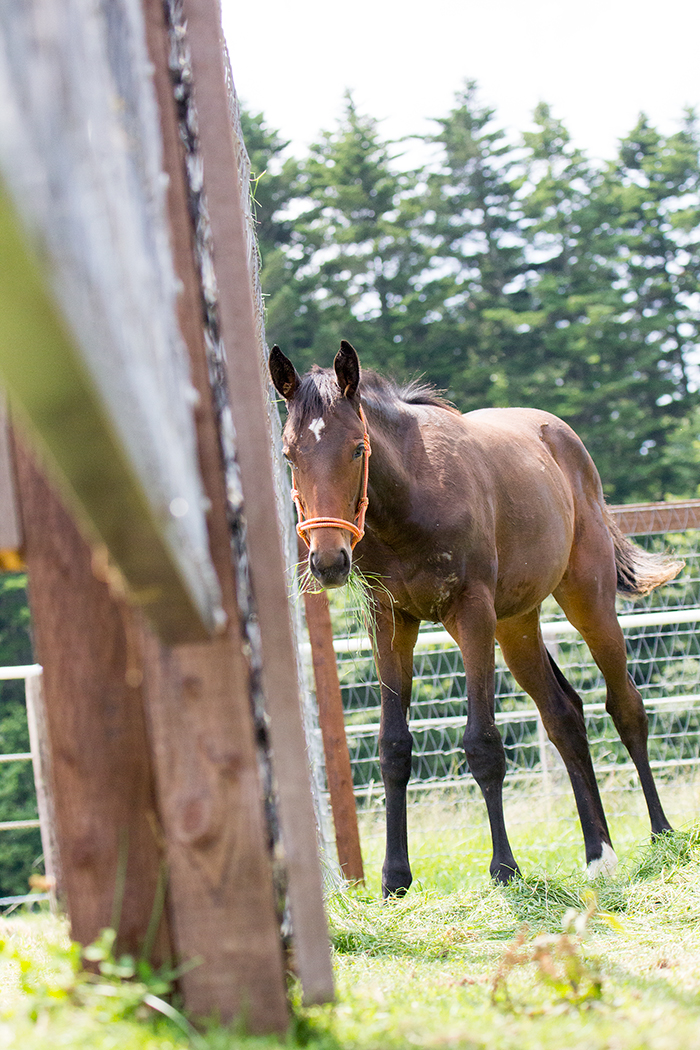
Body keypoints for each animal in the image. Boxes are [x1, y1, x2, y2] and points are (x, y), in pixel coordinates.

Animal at [270, 342, 684, 894]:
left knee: (626, 707)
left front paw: (505, 869)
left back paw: (661, 835)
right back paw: (599, 855)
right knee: (564, 715)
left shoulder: (471, 614)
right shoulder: (391, 621)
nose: (329, 560)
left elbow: (483, 742)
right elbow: (393, 747)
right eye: (290, 454)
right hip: (516, 624)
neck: (412, 498)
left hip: (586, 599)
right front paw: (394, 879)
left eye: (357, 449)